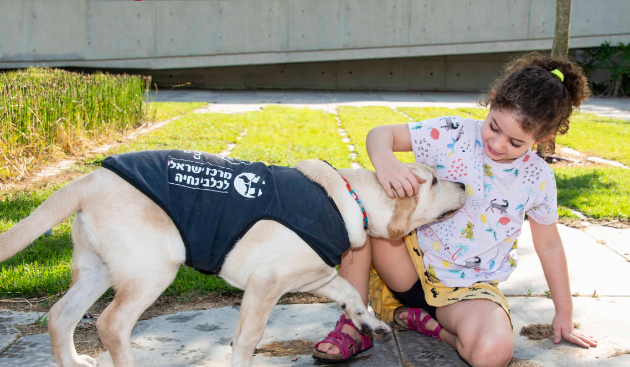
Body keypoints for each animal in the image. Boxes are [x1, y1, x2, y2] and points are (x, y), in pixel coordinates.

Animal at [0, 153, 464, 367]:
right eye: (433, 181)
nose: (463, 185)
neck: (348, 197)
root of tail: (90, 178)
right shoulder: (266, 283)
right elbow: (248, 336)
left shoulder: (314, 275)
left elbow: (349, 290)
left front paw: (366, 321)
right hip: (152, 270)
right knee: (111, 324)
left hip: (97, 269)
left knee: (61, 314)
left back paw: (73, 360)